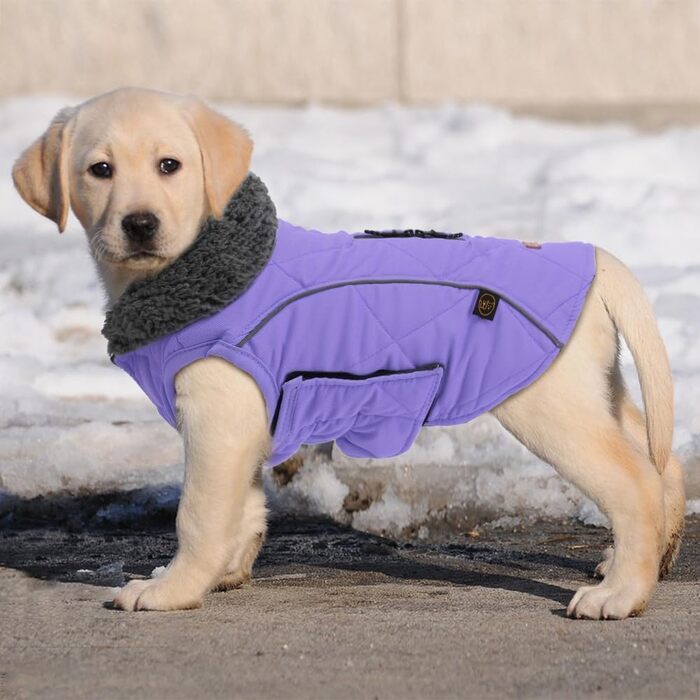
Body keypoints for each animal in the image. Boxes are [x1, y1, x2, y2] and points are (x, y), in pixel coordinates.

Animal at [13, 87, 688, 616]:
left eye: (170, 165)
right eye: (100, 169)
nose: (140, 224)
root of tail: (595, 258)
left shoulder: (217, 415)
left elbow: (199, 513)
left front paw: (171, 589)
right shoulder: (248, 420)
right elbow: (242, 507)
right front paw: (227, 572)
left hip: (551, 405)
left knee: (634, 483)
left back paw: (621, 594)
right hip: (598, 388)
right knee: (662, 464)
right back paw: (652, 557)